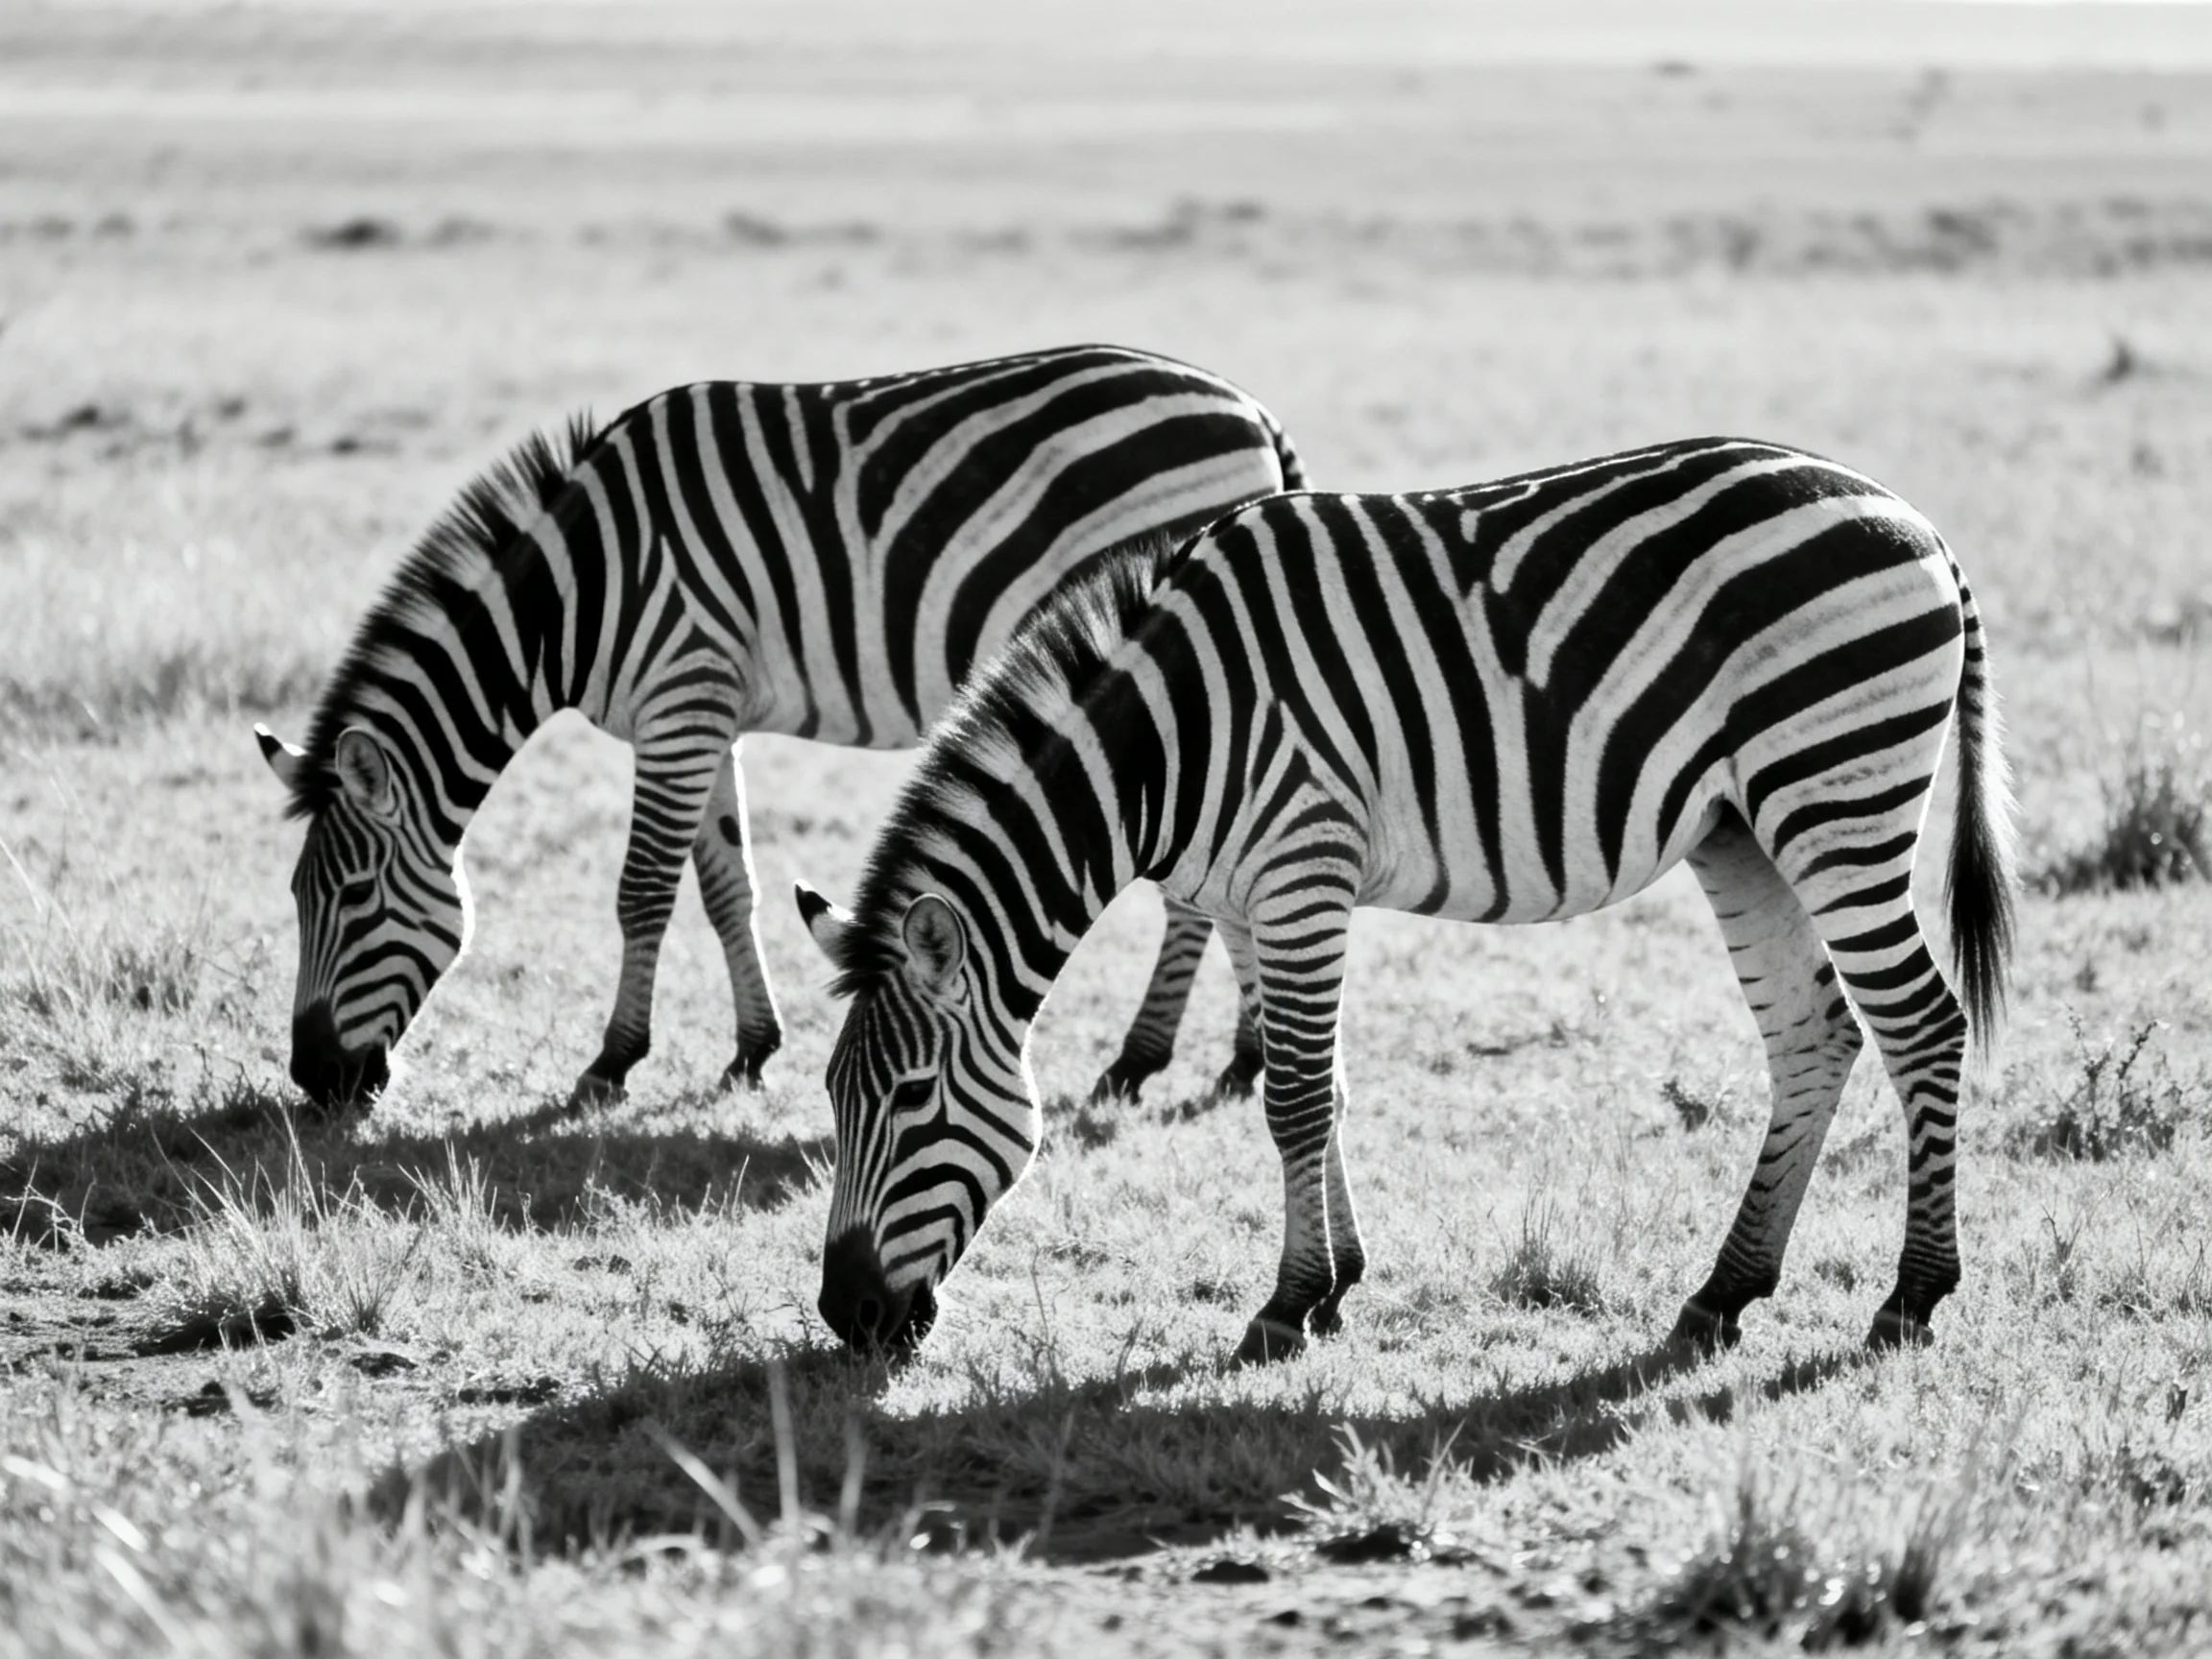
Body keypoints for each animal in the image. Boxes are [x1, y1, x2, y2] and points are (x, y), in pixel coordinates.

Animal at [254, 344, 1299, 1110]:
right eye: (296, 899)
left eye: (349, 898)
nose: (316, 1081)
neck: (579, 588)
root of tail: (1250, 409)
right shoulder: (703, 715)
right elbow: (727, 887)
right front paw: (752, 1049)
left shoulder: (679, 698)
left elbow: (642, 893)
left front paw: (611, 1063)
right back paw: (1239, 1056)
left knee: (1195, 896)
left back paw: (1140, 1060)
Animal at [797, 436, 2017, 1362]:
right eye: (833, 1098)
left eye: (910, 1099)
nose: (847, 1318)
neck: (1169, 741)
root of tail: (1918, 524)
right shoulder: (1255, 896)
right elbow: (1318, 1087)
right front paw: (1338, 1284)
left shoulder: (1302, 865)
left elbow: (1292, 1098)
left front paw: (1285, 1308)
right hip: (1743, 831)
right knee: (1815, 1035)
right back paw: (1724, 1295)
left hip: (1836, 797)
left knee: (1922, 1025)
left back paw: (1911, 1298)